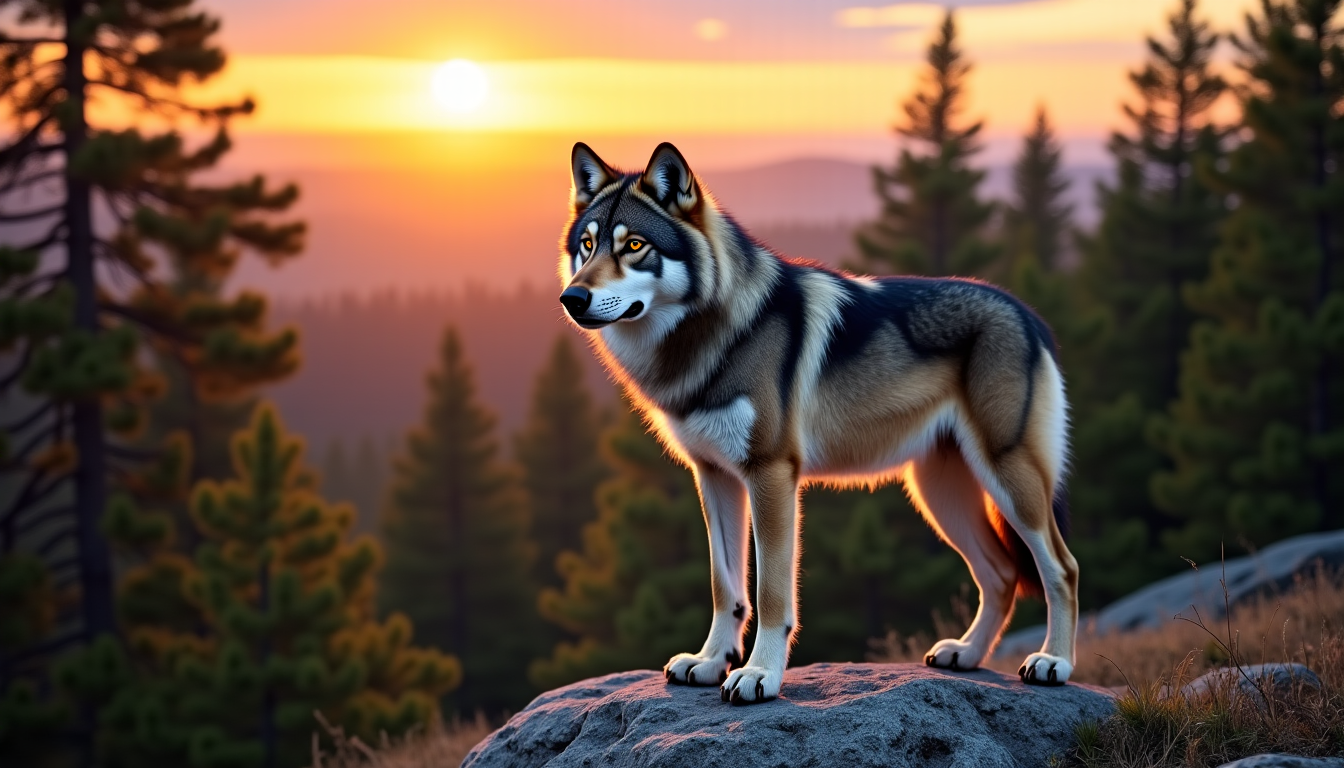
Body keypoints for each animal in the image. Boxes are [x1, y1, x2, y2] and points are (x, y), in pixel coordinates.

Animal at [556, 142, 1079, 704]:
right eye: (587, 246)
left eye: (634, 245)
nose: (572, 298)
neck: (714, 334)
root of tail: (1029, 315)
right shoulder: (713, 476)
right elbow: (724, 586)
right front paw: (710, 662)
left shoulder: (771, 476)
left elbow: (771, 592)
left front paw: (758, 675)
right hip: (939, 496)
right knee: (1001, 574)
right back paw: (966, 655)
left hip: (1008, 481)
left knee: (1061, 568)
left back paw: (1054, 663)